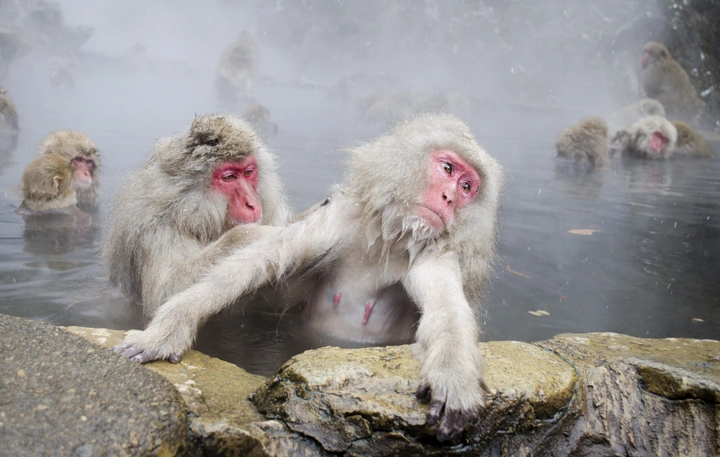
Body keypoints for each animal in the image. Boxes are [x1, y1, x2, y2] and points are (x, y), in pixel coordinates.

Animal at [102, 114, 291, 317]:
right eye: (229, 177)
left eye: (248, 172)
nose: (252, 204)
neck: (190, 213)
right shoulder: (158, 231)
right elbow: (164, 294)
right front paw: (248, 237)